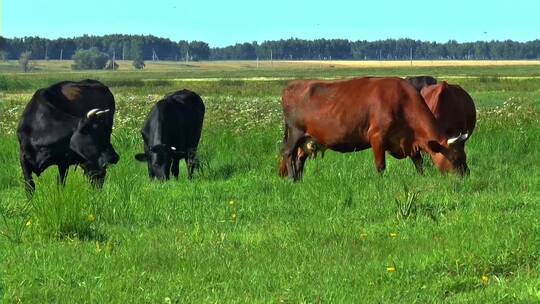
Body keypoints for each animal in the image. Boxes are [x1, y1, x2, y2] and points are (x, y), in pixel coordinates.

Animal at [280, 76, 470, 180]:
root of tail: (291, 86)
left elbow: (419, 163)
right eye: (455, 159)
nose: (465, 176)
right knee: (287, 153)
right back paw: (291, 178)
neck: (402, 102)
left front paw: (422, 178)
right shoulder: (377, 137)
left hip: (307, 138)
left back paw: (299, 179)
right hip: (295, 132)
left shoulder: (408, 140)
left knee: (299, 157)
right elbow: (380, 166)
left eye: (464, 156)